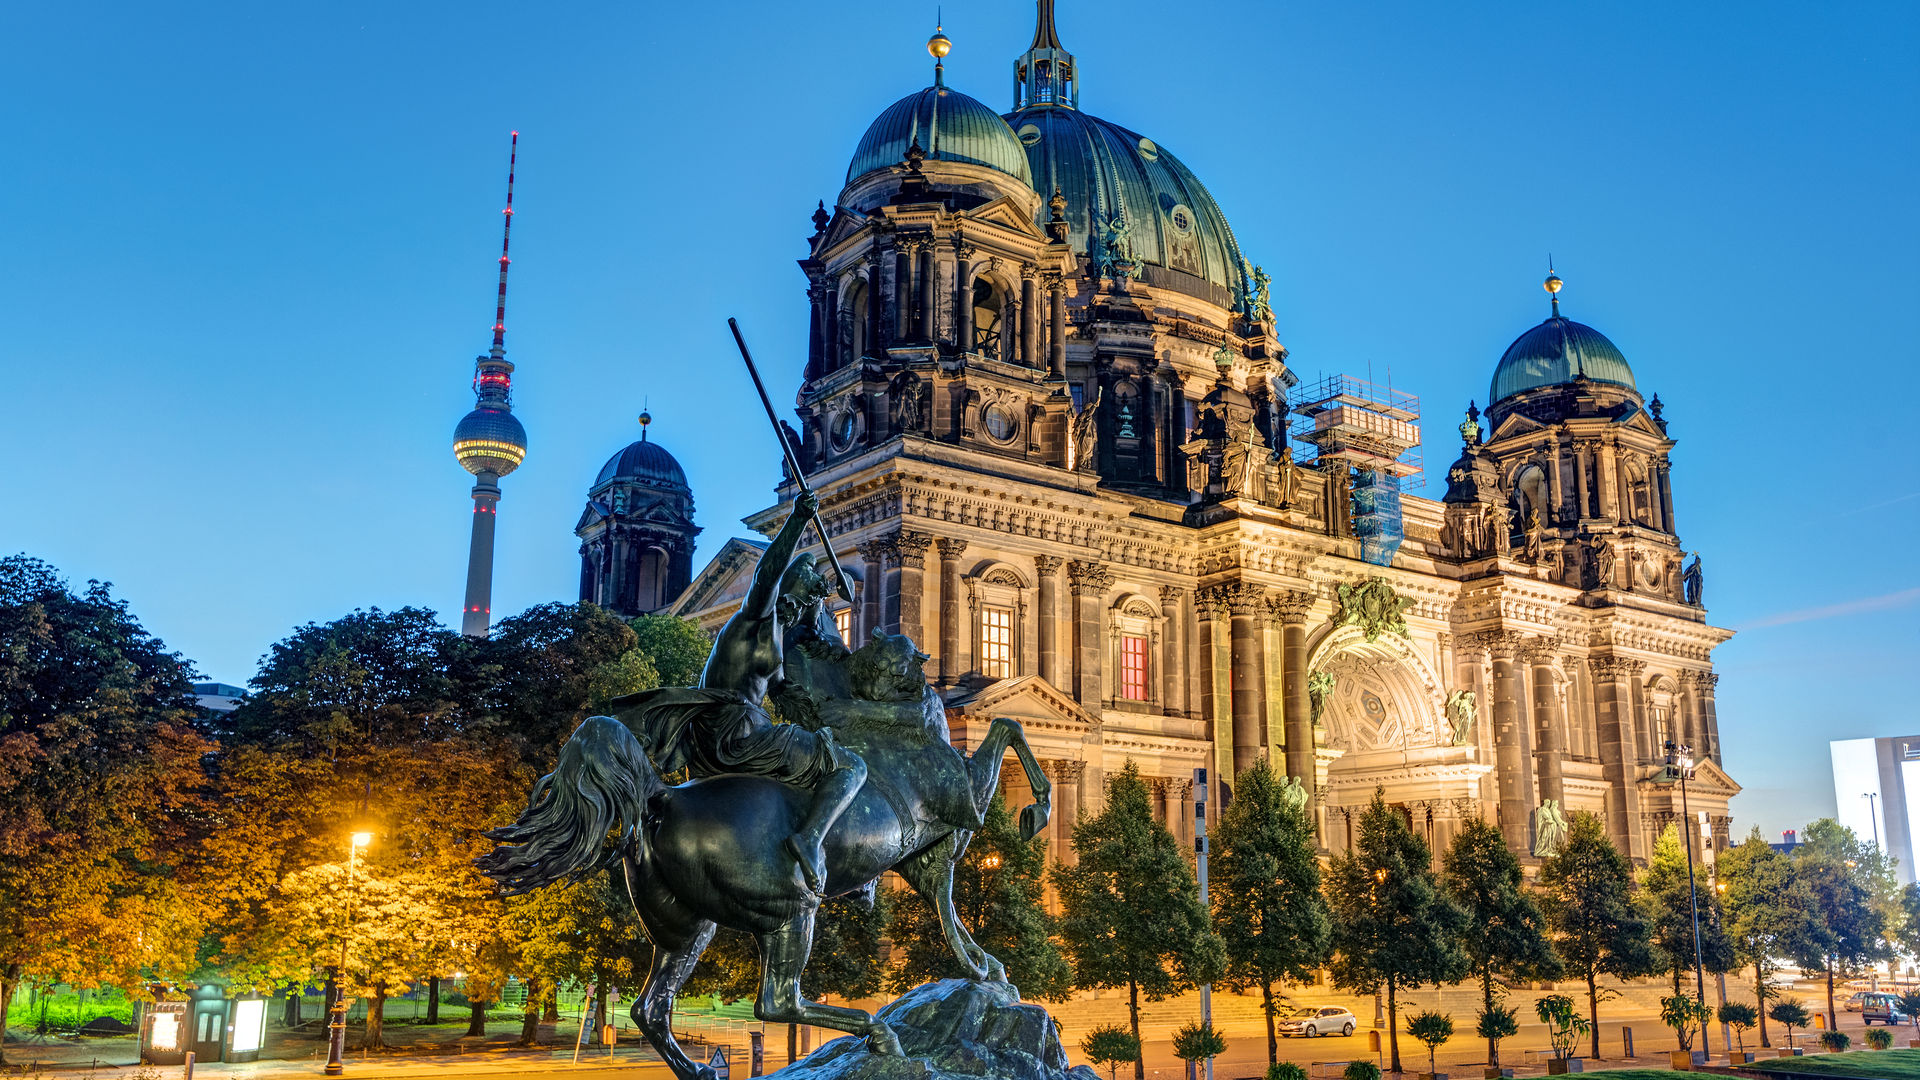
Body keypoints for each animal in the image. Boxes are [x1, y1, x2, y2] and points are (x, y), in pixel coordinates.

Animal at [478, 626, 1052, 1076]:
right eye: (907, 651)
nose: (927, 661)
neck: (886, 715)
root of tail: (662, 796)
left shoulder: (922, 855)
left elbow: (946, 905)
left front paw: (984, 969)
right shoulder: (963, 796)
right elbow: (1006, 729)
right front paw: (1037, 810)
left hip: (686, 928)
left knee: (652, 1008)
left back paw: (703, 1070)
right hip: (790, 912)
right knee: (776, 1000)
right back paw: (878, 1033)